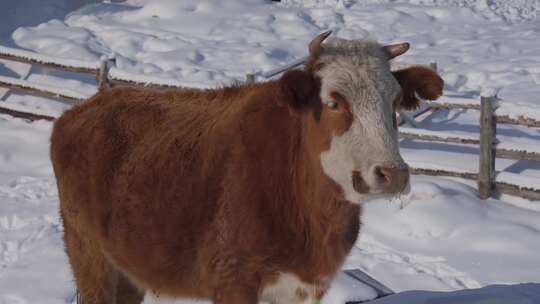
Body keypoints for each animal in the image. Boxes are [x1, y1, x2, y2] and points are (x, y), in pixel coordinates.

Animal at [51, 31, 442, 304]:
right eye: (333, 102)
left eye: (395, 101)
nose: (392, 174)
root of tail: (88, 105)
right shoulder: (233, 280)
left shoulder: (304, 287)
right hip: (89, 256)